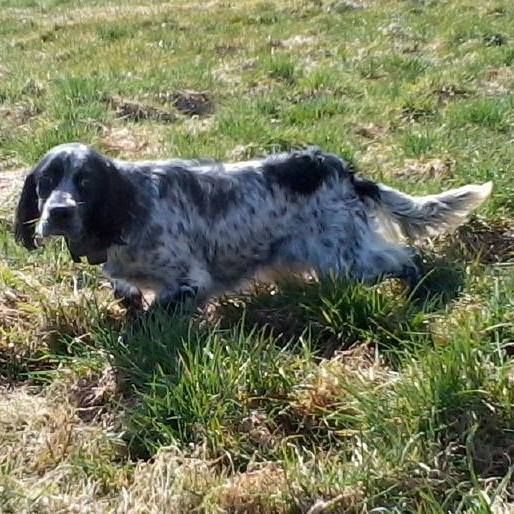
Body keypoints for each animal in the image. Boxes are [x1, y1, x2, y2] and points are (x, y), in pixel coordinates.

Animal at [15, 143, 488, 312]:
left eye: (85, 182)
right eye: (45, 182)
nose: (59, 212)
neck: (129, 207)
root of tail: (340, 169)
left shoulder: (188, 280)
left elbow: (159, 310)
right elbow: (126, 292)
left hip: (346, 256)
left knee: (402, 258)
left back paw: (418, 290)